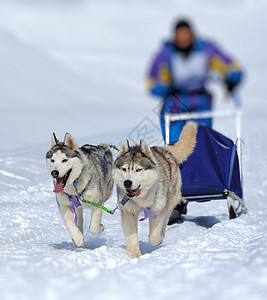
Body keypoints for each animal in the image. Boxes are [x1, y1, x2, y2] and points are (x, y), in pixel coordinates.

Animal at [112, 122, 198, 258]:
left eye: (138, 170)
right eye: (124, 169)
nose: (127, 183)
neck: (142, 198)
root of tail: (163, 150)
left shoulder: (157, 210)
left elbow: (154, 237)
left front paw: (157, 239)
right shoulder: (128, 213)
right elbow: (132, 240)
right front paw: (135, 256)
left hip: (169, 202)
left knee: (166, 219)